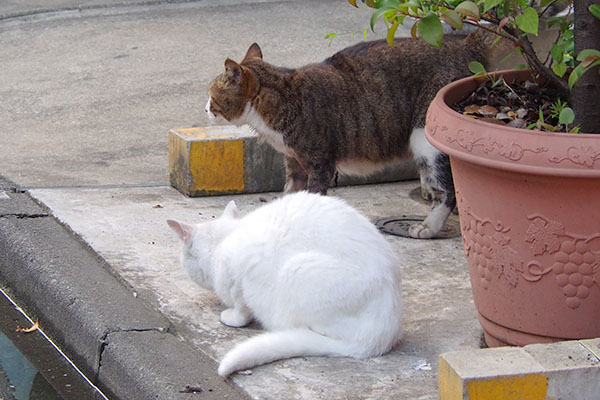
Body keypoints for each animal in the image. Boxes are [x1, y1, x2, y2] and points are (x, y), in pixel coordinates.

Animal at [168, 192, 404, 376]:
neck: (223, 240)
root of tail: (379, 338)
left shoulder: (242, 276)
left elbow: (241, 308)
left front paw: (233, 317)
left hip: (297, 271)